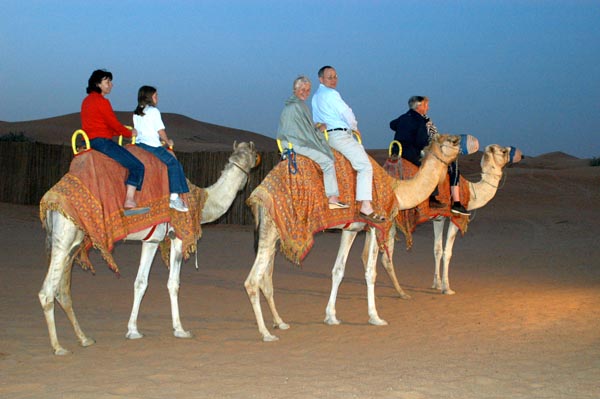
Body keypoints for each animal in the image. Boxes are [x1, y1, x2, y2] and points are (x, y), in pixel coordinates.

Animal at [38, 142, 258, 354]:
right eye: (253, 154)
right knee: (46, 291)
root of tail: (49, 200)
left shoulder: (151, 240)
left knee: (63, 290)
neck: (200, 202)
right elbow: (173, 283)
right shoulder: (178, 237)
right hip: (64, 236)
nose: (258, 158)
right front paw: (180, 329)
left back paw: (84, 338)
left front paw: (133, 331)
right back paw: (58, 347)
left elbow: (140, 282)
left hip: (75, 241)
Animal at [244, 134, 460, 340]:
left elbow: (338, 270)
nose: (459, 140)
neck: (395, 189)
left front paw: (331, 316)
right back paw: (266, 333)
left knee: (266, 278)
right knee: (253, 281)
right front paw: (375, 317)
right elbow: (371, 272)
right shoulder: (375, 225)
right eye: (451, 141)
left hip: (274, 231)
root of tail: (258, 192)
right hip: (271, 228)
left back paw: (280, 322)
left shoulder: (351, 230)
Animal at [372, 143, 512, 296]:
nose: (514, 153)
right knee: (383, 255)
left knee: (385, 256)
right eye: (503, 151)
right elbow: (447, 252)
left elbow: (437, 249)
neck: (471, 192)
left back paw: (399, 291)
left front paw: (436, 284)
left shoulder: (439, 219)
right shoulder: (455, 218)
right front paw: (447, 287)